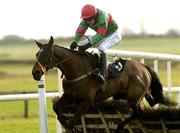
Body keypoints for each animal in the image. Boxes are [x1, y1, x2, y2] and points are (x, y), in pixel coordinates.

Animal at [31, 36, 176, 132]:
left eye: (45, 54)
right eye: (37, 54)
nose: (35, 73)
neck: (76, 71)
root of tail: (143, 67)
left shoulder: (86, 102)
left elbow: (72, 121)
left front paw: (71, 125)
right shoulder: (69, 97)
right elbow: (56, 107)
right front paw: (63, 120)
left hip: (133, 98)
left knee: (138, 112)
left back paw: (119, 126)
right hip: (128, 95)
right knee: (149, 102)